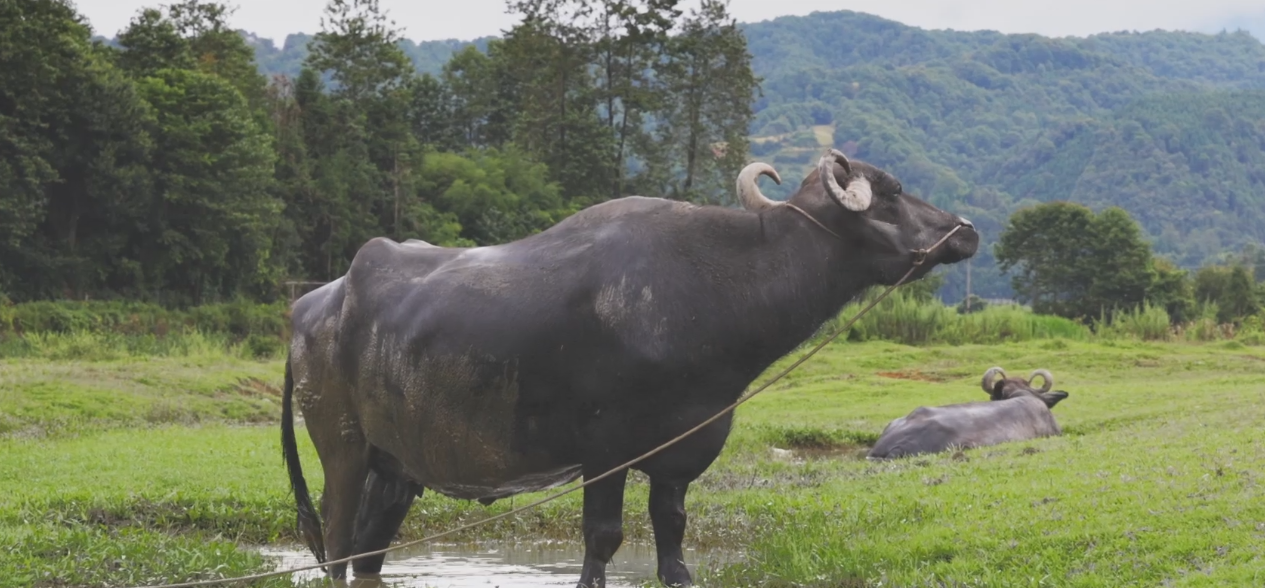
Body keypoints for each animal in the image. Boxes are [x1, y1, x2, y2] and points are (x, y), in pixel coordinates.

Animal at [284, 147, 976, 586]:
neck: (714, 289)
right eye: (892, 194)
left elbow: (672, 542)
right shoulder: (605, 454)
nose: (964, 230)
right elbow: (602, 542)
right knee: (337, 547)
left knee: (369, 551)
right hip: (341, 448)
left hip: (396, 465)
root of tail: (313, 304)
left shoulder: (680, 456)